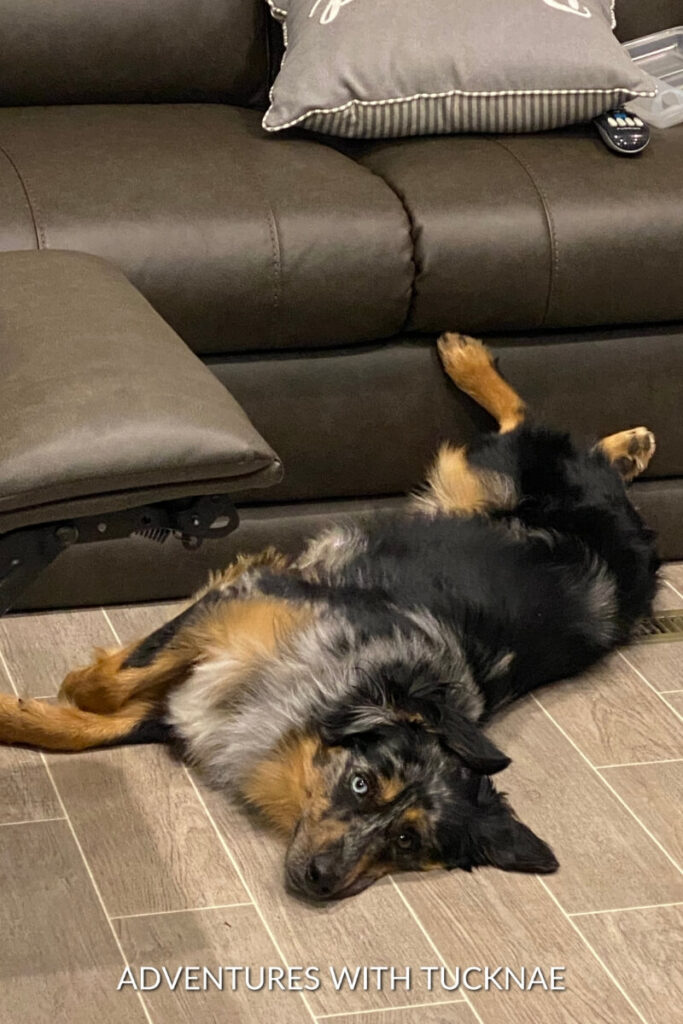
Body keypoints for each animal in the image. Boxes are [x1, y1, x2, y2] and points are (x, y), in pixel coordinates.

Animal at [1, 333, 663, 897]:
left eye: (406, 841)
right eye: (361, 784)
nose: (322, 880)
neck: (349, 682)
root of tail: (639, 539)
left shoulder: (195, 701)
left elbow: (88, 725)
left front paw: (22, 714)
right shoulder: (238, 600)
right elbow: (107, 687)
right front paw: (69, 687)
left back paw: (630, 445)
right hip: (484, 480)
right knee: (526, 427)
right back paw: (481, 363)